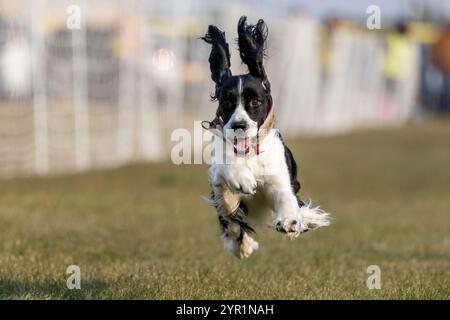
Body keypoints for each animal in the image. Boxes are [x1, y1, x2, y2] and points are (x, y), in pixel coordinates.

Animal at [202, 16, 328, 258]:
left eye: (255, 101)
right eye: (226, 102)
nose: (239, 125)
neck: (251, 153)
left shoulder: (279, 178)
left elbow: (286, 196)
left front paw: (290, 220)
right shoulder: (218, 171)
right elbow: (226, 180)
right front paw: (242, 180)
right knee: (231, 220)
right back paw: (242, 243)